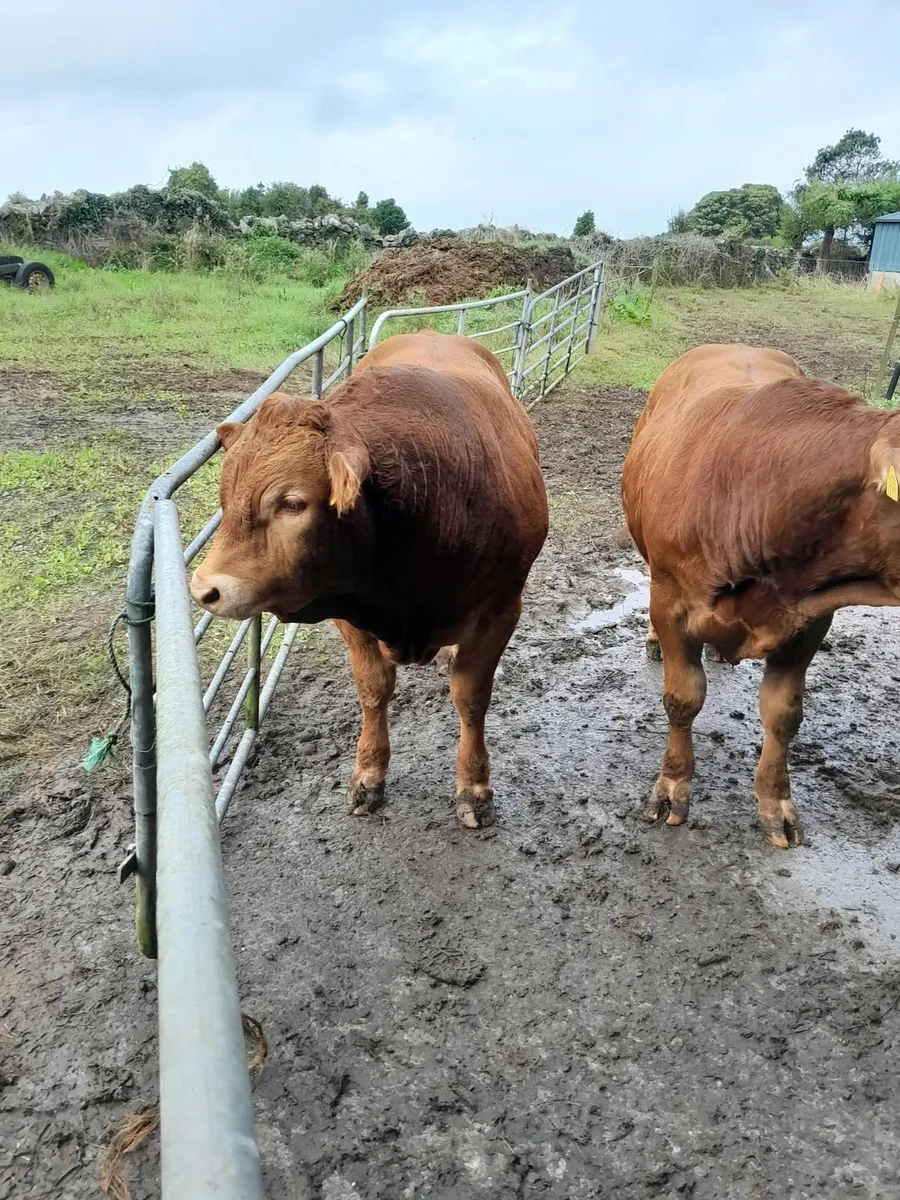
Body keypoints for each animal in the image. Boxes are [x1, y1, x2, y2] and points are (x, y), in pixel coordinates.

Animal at [190, 330, 549, 829]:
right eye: (226, 496)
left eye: (293, 503)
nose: (205, 588)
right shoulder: (348, 607)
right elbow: (374, 690)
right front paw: (368, 776)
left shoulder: (503, 608)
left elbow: (471, 697)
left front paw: (474, 787)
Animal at [622, 342, 900, 849]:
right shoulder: (671, 603)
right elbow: (682, 699)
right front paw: (672, 789)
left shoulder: (810, 621)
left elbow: (784, 714)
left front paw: (777, 804)